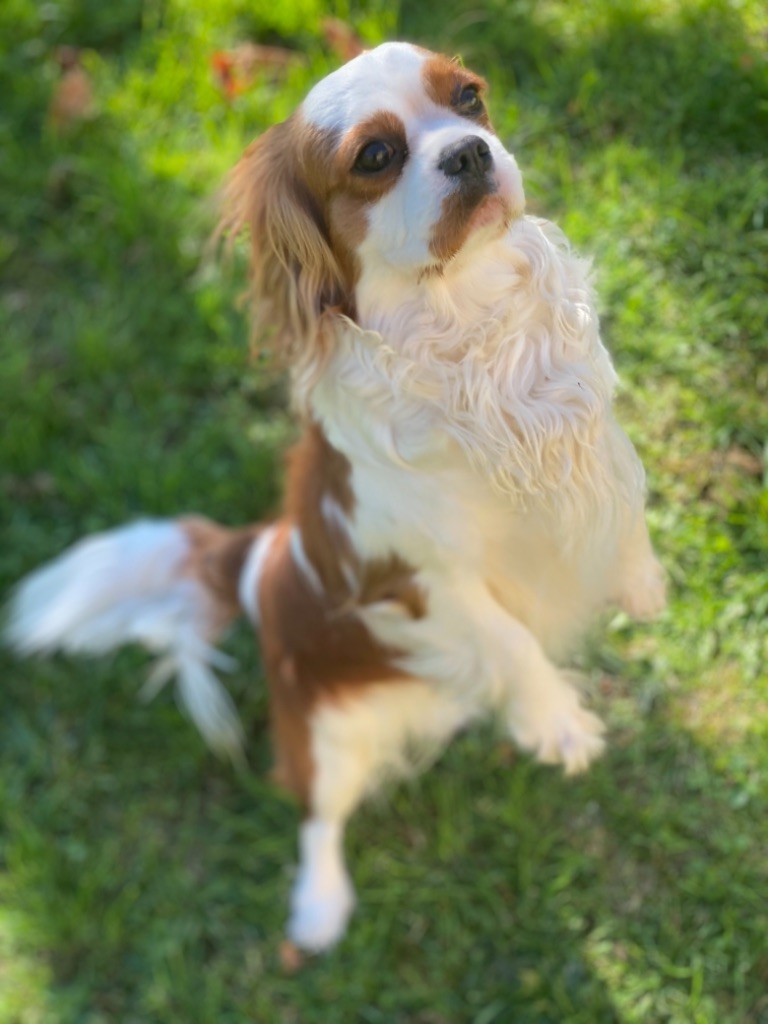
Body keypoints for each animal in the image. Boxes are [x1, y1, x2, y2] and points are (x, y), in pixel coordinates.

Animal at [7, 42, 667, 953]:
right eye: (376, 157)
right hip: (324, 730)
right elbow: (509, 641)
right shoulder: (414, 580)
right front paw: (556, 720)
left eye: (470, 99)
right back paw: (318, 910)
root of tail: (259, 553)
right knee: (318, 815)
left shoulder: (588, 433)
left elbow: (627, 496)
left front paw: (640, 584)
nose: (469, 153)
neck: (465, 325)